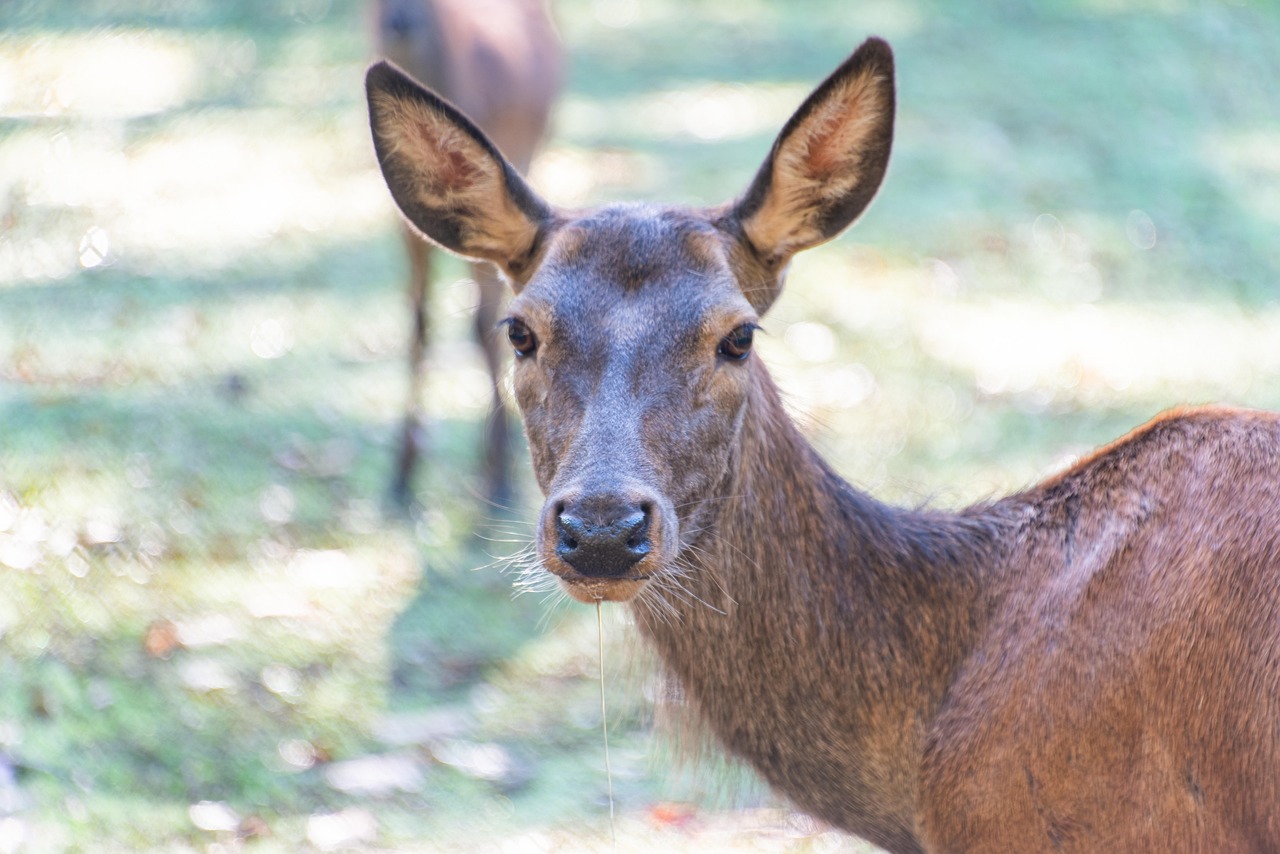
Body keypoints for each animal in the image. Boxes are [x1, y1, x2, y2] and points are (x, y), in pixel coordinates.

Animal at [371, 0, 562, 506]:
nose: (399, 23)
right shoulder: (404, 223)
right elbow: (419, 322)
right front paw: (401, 475)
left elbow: (481, 322)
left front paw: (497, 476)